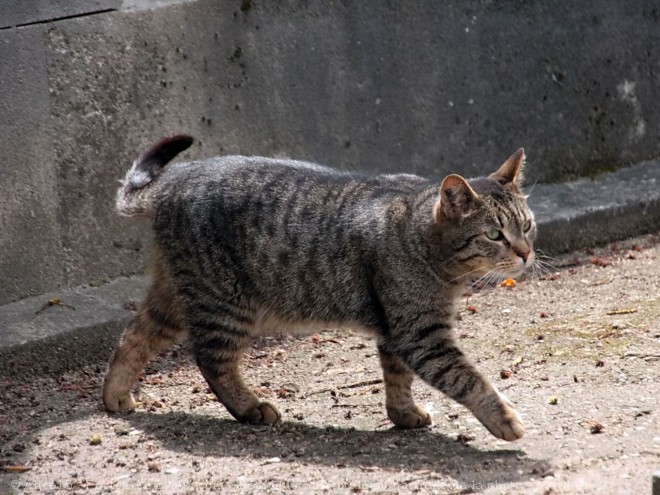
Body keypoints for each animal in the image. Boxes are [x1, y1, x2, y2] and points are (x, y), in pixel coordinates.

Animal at [104, 137, 536, 442]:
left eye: (527, 225)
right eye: (495, 235)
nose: (527, 253)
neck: (420, 236)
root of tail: (175, 180)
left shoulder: (396, 330)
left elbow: (397, 377)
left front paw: (403, 413)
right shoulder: (420, 335)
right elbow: (469, 378)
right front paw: (504, 418)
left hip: (176, 297)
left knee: (132, 336)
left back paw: (115, 395)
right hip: (224, 302)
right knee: (212, 361)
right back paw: (249, 407)